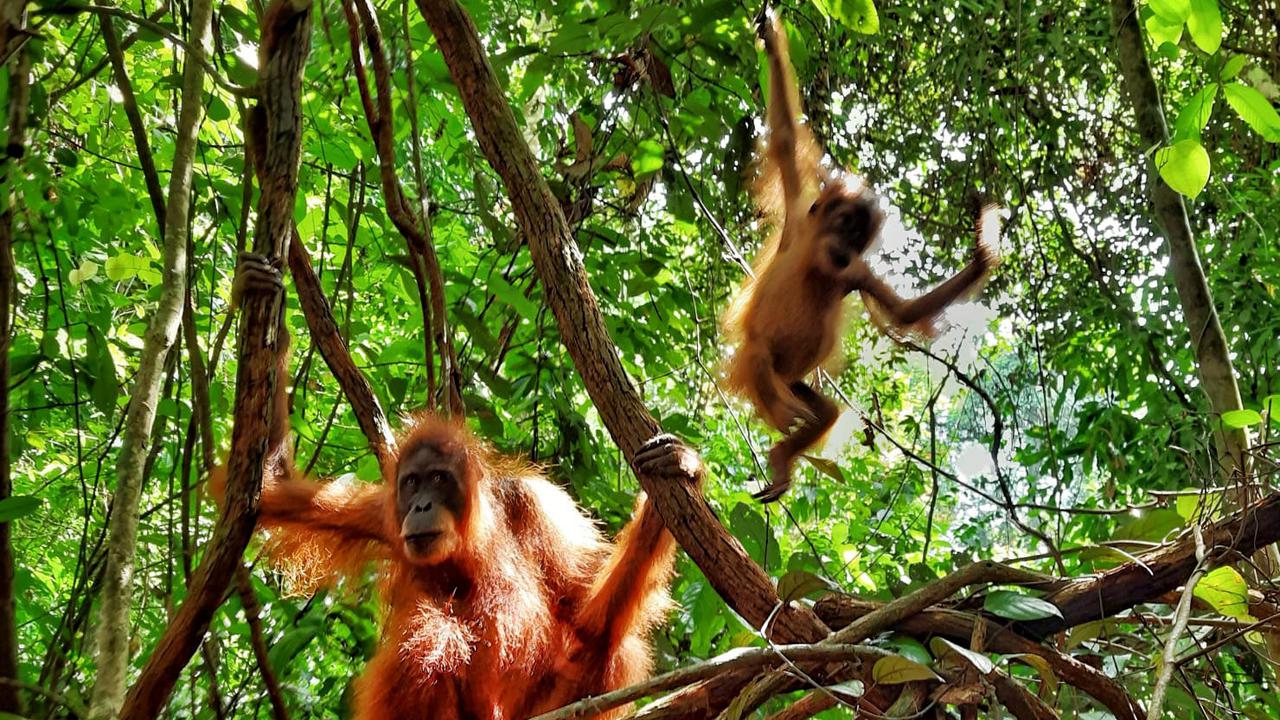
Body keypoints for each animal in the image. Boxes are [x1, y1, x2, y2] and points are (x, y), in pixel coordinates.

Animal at [723, 13, 1000, 503]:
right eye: (845, 224)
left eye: (858, 237)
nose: (846, 246)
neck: (816, 265)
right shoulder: (798, 221)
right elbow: (784, 138)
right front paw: (771, 39)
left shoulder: (855, 273)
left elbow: (904, 311)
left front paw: (983, 253)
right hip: (769, 365)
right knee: (758, 356)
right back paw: (776, 411)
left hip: (797, 380)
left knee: (826, 412)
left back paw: (782, 457)